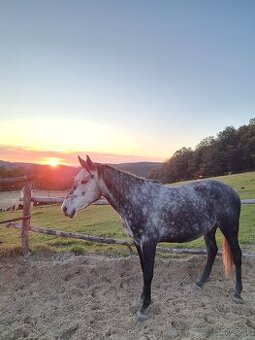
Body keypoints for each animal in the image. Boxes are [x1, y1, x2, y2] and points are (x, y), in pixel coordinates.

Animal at [61, 155, 243, 320]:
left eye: (84, 181)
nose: (64, 208)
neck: (136, 200)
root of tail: (233, 191)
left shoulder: (149, 243)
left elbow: (149, 274)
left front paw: (144, 307)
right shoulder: (138, 243)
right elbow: (143, 271)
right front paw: (142, 298)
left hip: (229, 228)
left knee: (237, 255)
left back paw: (238, 293)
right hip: (210, 229)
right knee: (212, 251)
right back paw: (200, 283)